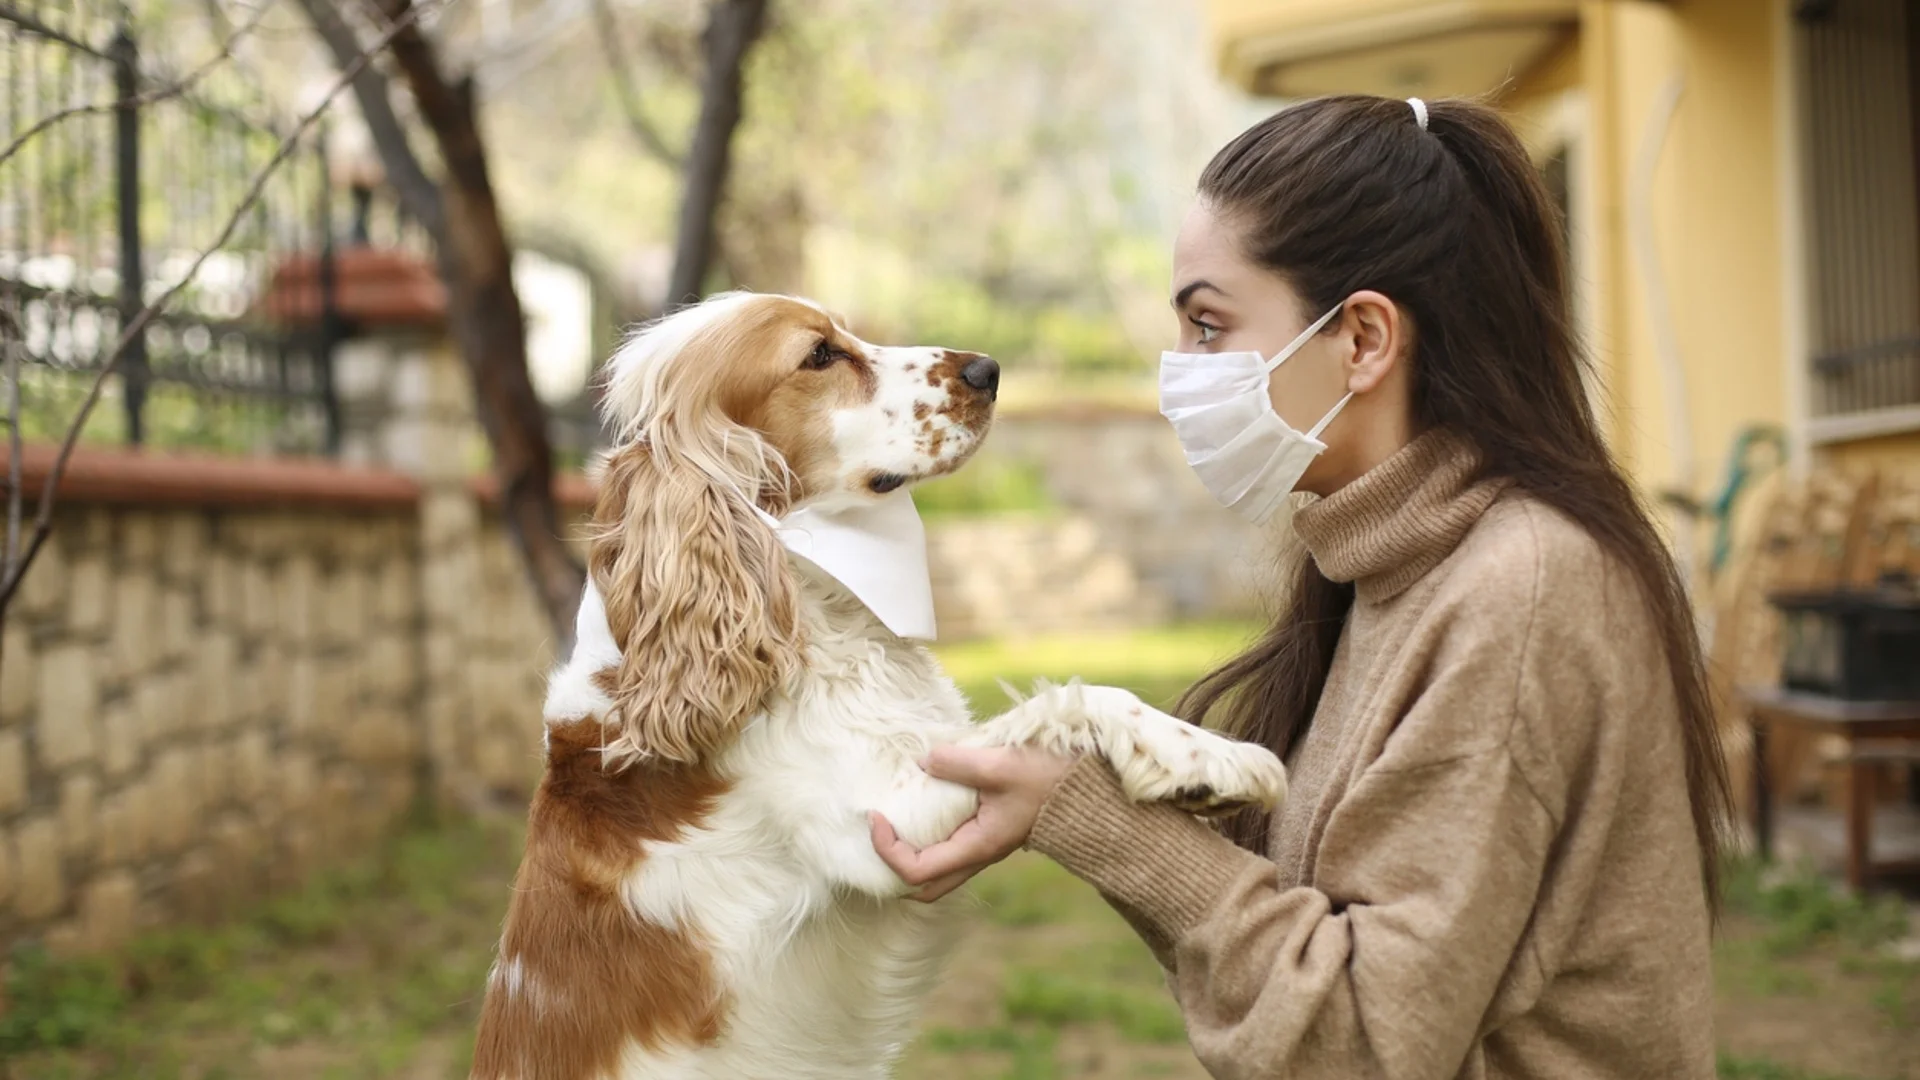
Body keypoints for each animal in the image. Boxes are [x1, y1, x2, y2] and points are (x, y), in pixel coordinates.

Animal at [464, 292, 1290, 1076]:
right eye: (819, 355)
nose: (987, 370)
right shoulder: (877, 827)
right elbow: (1071, 699)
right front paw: (1213, 762)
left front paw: (1202, 756)